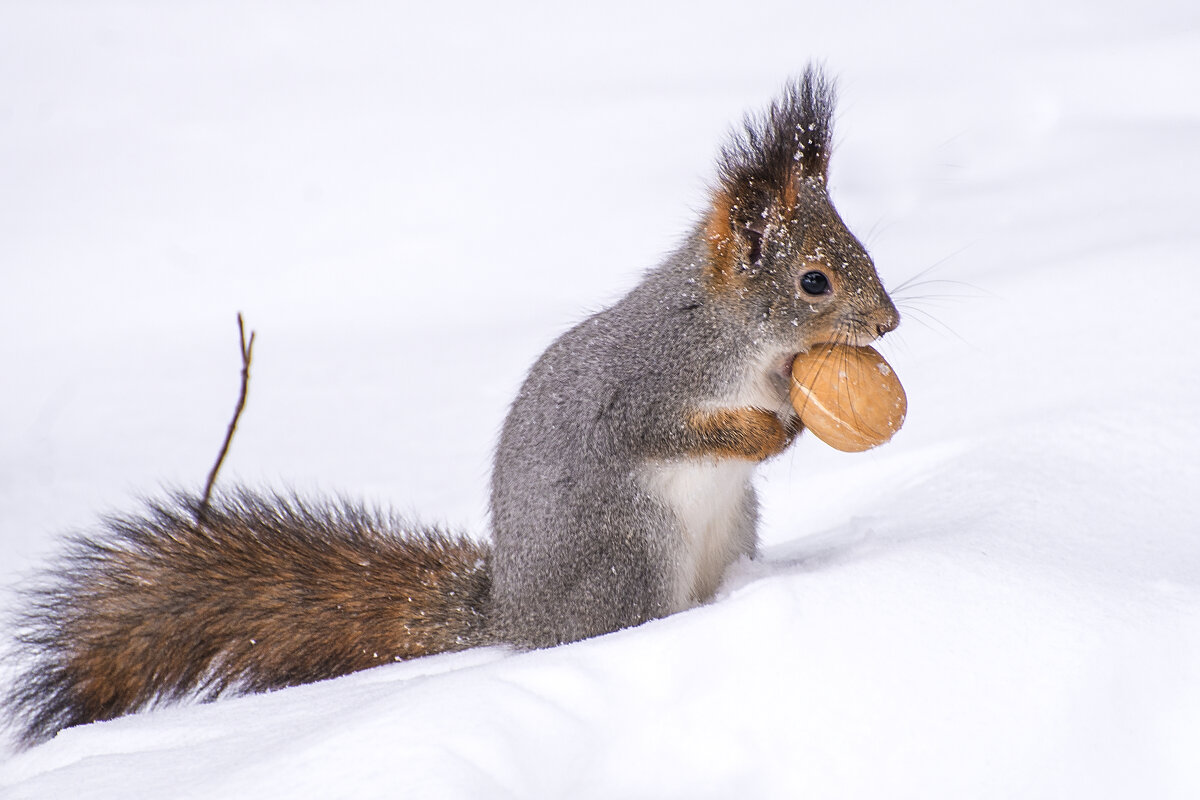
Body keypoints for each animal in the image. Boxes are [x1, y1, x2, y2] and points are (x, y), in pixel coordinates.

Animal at [2, 65, 902, 748]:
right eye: (814, 281)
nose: (889, 323)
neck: (737, 337)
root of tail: (515, 613)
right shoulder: (646, 384)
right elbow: (667, 429)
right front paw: (762, 430)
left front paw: (796, 421)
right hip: (629, 550)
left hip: (731, 528)